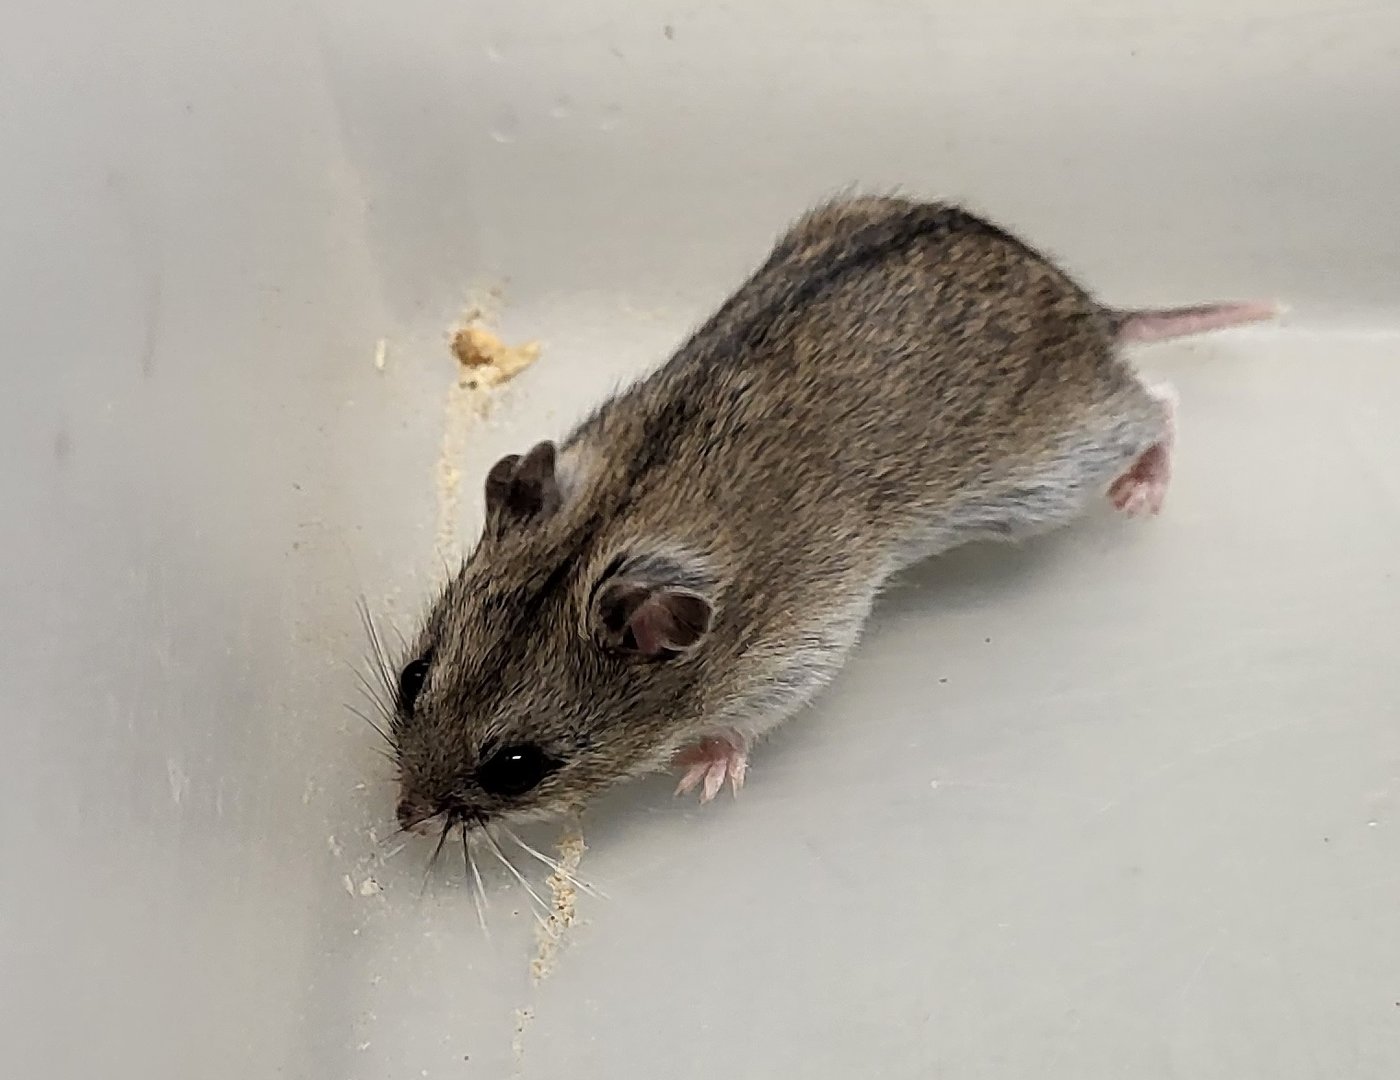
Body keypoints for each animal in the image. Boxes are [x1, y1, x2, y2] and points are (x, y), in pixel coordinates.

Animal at [389, 195, 1276, 834]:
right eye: (410, 678)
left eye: (517, 768)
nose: (403, 820)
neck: (610, 527)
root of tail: (1094, 311)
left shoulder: (800, 647)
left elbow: (746, 725)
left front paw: (700, 778)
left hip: (1054, 470)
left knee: (1160, 403)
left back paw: (1142, 493)